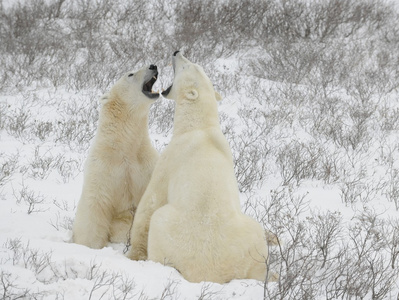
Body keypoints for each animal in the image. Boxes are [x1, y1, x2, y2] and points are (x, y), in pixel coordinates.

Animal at [72, 65, 160, 248]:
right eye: (130, 74)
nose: (153, 66)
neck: (124, 145)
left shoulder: (146, 164)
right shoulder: (103, 166)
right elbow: (95, 204)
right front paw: (89, 245)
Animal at [128, 52, 272, 284]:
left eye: (187, 66)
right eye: (195, 64)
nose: (177, 52)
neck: (200, 127)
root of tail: (206, 274)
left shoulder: (171, 157)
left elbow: (150, 202)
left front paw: (133, 252)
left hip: (170, 230)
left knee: (158, 220)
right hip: (250, 239)